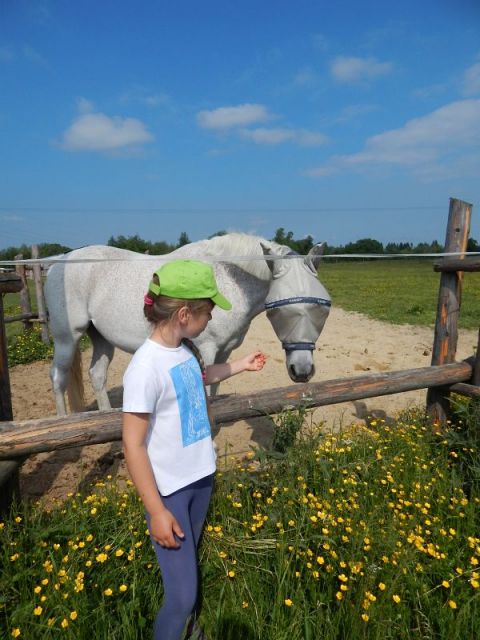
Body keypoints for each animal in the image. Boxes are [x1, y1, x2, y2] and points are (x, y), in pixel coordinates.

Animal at [44, 234, 330, 416]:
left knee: (97, 375)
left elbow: (214, 390)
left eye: (322, 309)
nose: (302, 371)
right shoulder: (205, 349)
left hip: (101, 338)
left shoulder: (224, 352)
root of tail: (59, 261)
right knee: (58, 377)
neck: (226, 282)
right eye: (283, 310)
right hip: (67, 338)